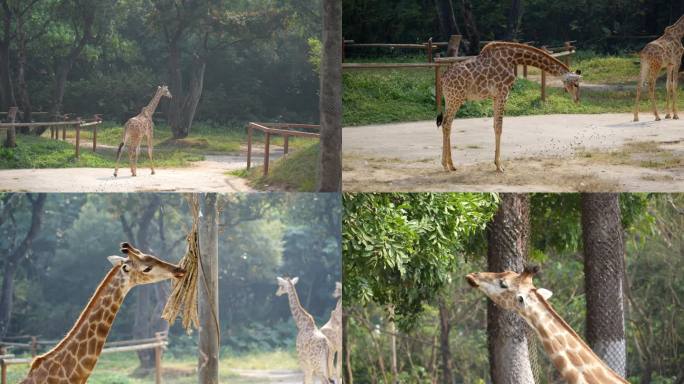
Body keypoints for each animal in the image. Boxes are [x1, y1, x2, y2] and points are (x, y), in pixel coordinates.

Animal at [438, 41, 584, 171]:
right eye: (576, 84)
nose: (577, 99)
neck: (513, 58)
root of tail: (443, 78)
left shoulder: (496, 96)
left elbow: (495, 125)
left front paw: (497, 163)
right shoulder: (503, 93)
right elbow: (499, 127)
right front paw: (499, 166)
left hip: (451, 99)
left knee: (447, 124)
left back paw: (451, 165)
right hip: (455, 98)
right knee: (446, 123)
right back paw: (445, 165)